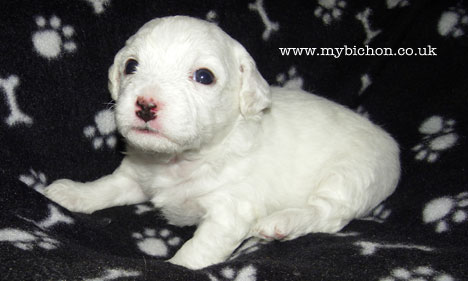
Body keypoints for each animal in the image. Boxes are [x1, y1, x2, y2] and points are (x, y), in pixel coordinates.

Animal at [44, 15, 398, 270]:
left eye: (204, 76)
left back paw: (281, 222)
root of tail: (392, 146)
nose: (145, 104)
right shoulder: (136, 176)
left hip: (350, 176)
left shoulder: (230, 211)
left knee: (328, 213)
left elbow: (200, 247)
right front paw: (72, 192)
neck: (182, 159)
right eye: (131, 66)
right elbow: (107, 186)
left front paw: (176, 266)